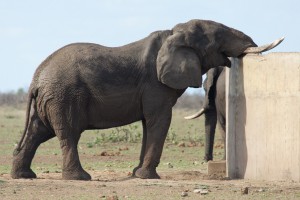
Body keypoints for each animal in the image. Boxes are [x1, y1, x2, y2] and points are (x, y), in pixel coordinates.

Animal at [10, 19, 270, 180]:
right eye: (219, 36)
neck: (174, 33)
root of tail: (36, 79)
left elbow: (149, 123)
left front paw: (136, 173)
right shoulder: (155, 85)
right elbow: (160, 121)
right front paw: (148, 176)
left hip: (50, 99)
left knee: (38, 132)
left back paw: (24, 176)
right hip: (64, 96)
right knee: (68, 133)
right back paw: (80, 178)